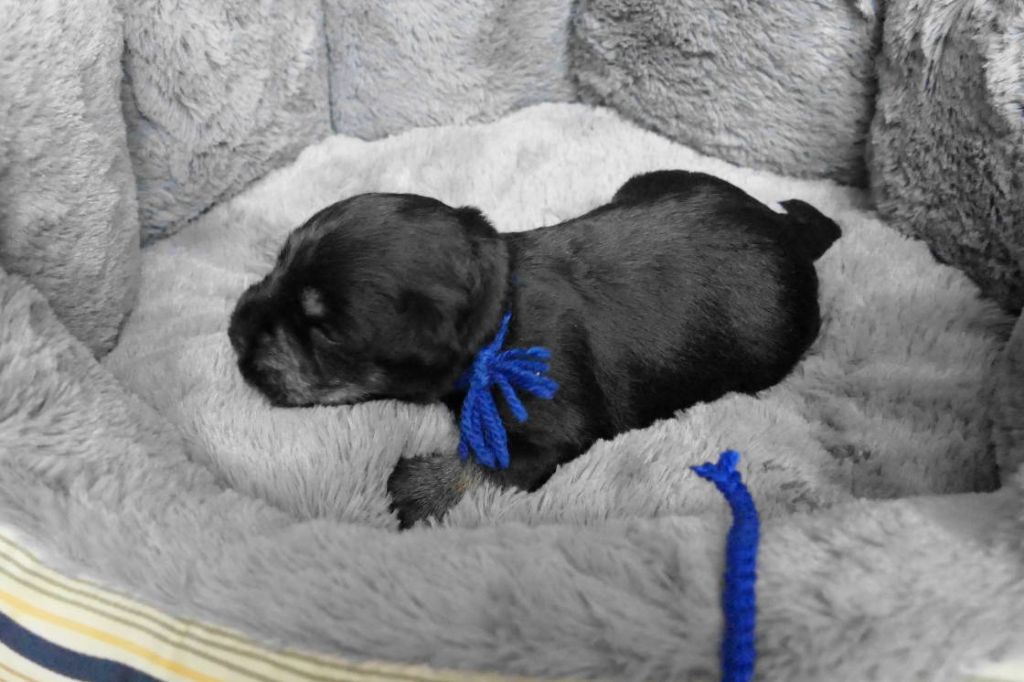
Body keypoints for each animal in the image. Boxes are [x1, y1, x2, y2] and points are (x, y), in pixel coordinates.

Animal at [228, 170, 841, 528]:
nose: (233, 332)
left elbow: (489, 462)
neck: (499, 308)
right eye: (278, 261)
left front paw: (417, 490)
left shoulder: (553, 429)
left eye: (324, 330)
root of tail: (787, 233)